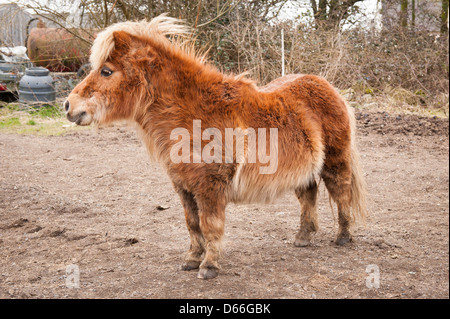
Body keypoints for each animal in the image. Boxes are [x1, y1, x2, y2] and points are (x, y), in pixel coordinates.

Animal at [67, 15, 370, 280]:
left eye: (107, 71)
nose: (69, 105)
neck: (194, 113)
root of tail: (329, 87)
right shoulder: (184, 187)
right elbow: (192, 224)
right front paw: (192, 259)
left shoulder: (210, 187)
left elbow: (210, 225)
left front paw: (209, 266)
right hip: (302, 168)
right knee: (309, 195)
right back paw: (303, 237)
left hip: (335, 160)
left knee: (341, 191)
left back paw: (343, 237)